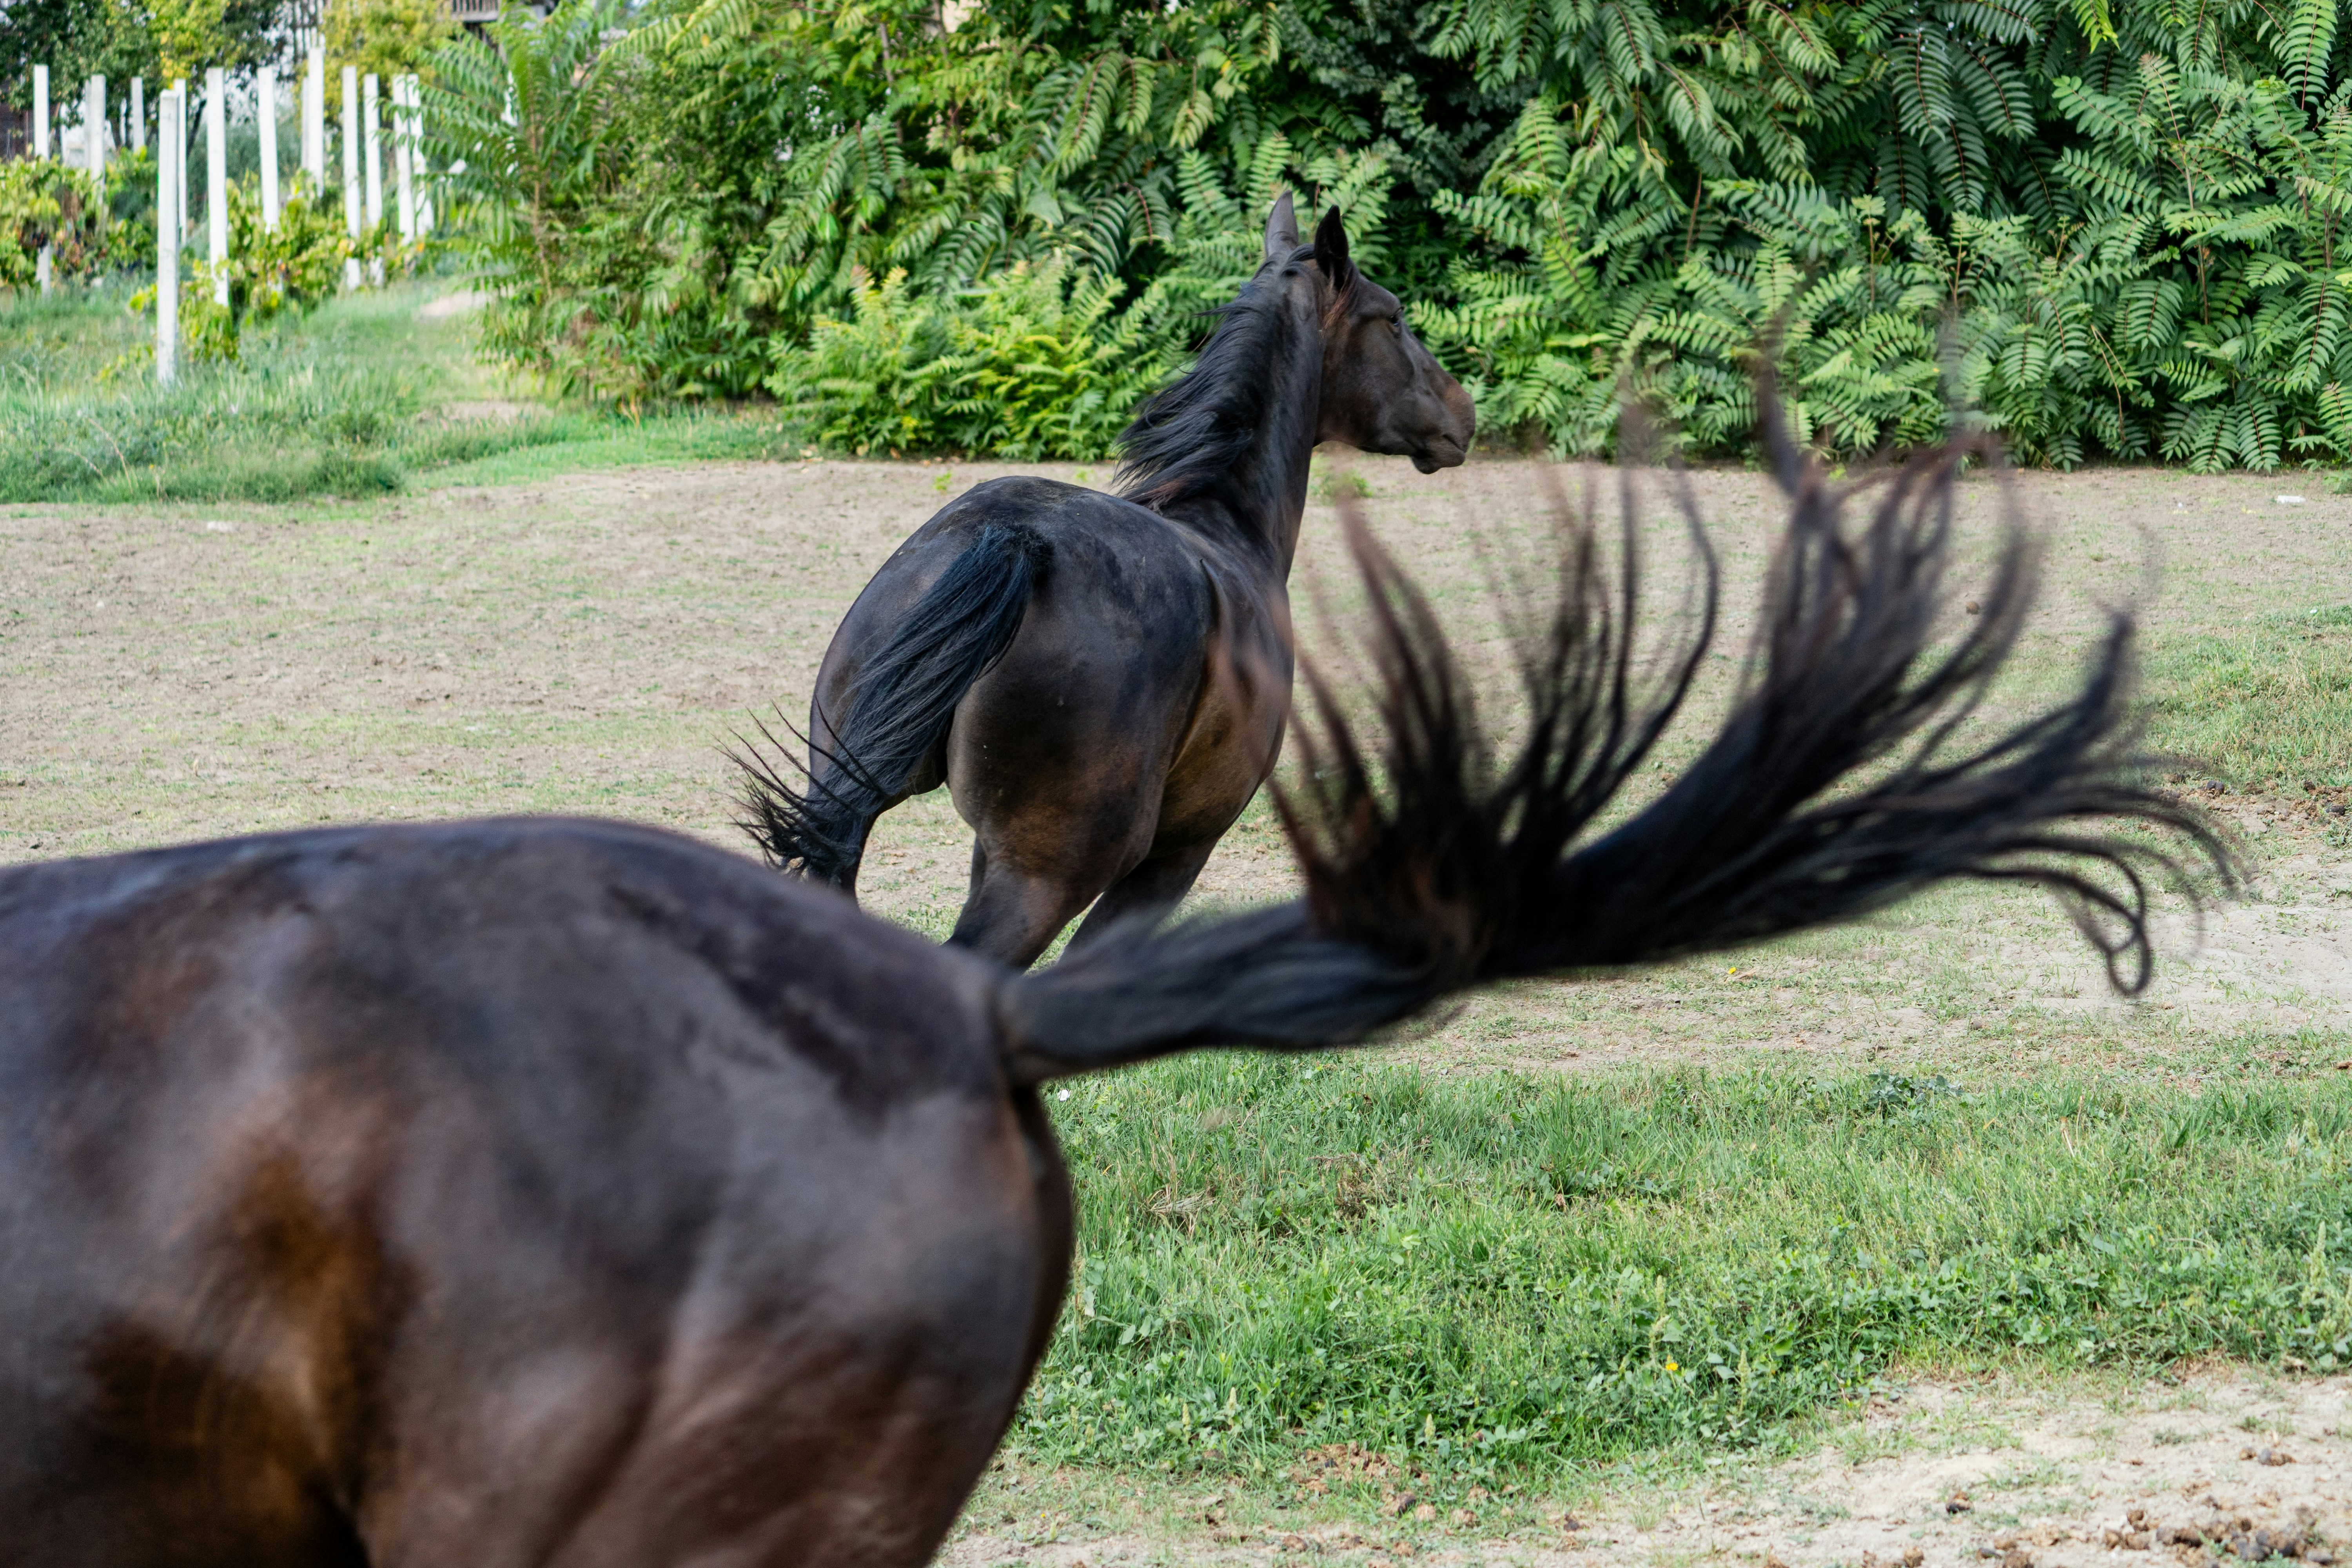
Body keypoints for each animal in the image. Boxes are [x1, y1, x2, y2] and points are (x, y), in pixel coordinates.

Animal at [734, 194, 1478, 967]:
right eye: (1394, 319)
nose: (1464, 413)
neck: (1229, 521)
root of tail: (1016, 543)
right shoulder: (1179, 853)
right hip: (1048, 878)